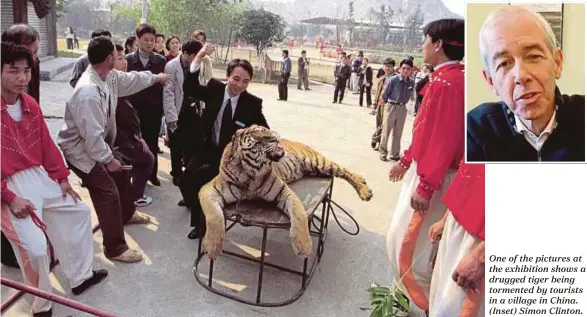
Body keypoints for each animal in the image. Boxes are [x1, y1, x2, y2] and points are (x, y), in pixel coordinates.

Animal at [200, 123, 374, 260]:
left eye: (264, 129)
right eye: (258, 141)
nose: (275, 137)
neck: (250, 173)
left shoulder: (284, 192)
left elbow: (299, 216)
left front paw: (304, 247)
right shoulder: (208, 190)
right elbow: (214, 217)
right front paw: (212, 247)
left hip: (319, 163)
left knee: (344, 170)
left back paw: (365, 191)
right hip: (317, 169)